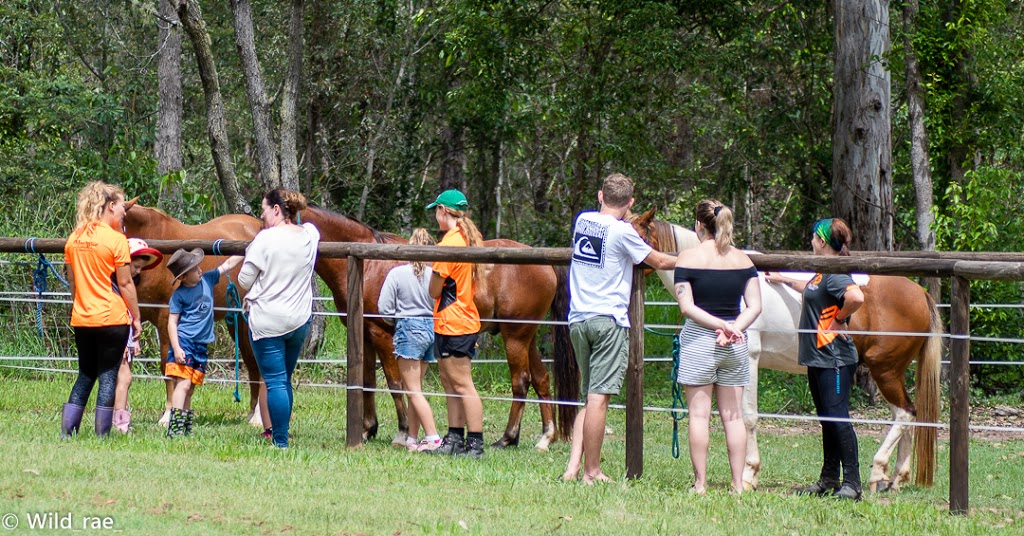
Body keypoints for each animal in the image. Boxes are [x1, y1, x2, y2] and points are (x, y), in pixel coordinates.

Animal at [122, 200, 266, 424]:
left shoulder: (166, 318)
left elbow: (167, 365)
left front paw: (167, 415)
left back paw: (258, 417)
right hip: (238, 321)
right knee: (252, 364)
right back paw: (252, 414)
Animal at [299, 208, 569, 450]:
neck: (369, 264)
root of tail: (545, 264)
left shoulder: (382, 335)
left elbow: (395, 383)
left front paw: (402, 432)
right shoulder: (364, 335)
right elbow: (366, 381)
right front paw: (367, 430)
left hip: (515, 337)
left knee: (521, 380)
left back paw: (506, 438)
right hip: (526, 336)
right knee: (541, 378)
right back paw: (544, 438)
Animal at [630, 211, 942, 496]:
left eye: (637, 235)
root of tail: (920, 293)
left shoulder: (748, 360)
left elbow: (748, 417)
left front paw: (748, 475)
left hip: (884, 370)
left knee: (905, 414)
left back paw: (878, 472)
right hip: (890, 372)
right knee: (908, 415)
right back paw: (896, 478)